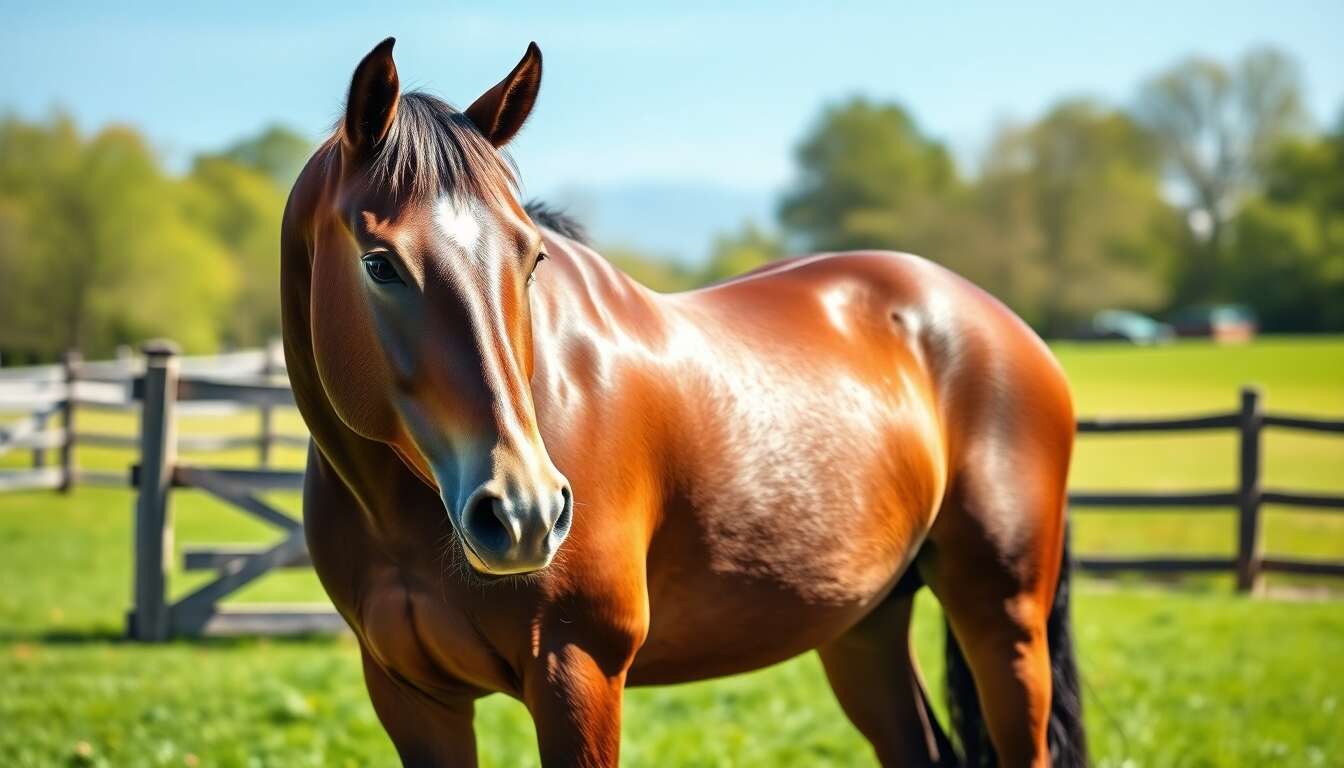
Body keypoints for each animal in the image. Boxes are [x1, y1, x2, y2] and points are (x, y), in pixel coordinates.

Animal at [281, 37, 1087, 767]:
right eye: (379, 263)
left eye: (532, 257)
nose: (524, 512)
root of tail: (999, 322)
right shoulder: (413, 695)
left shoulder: (578, 670)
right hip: (865, 628)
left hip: (1004, 621)